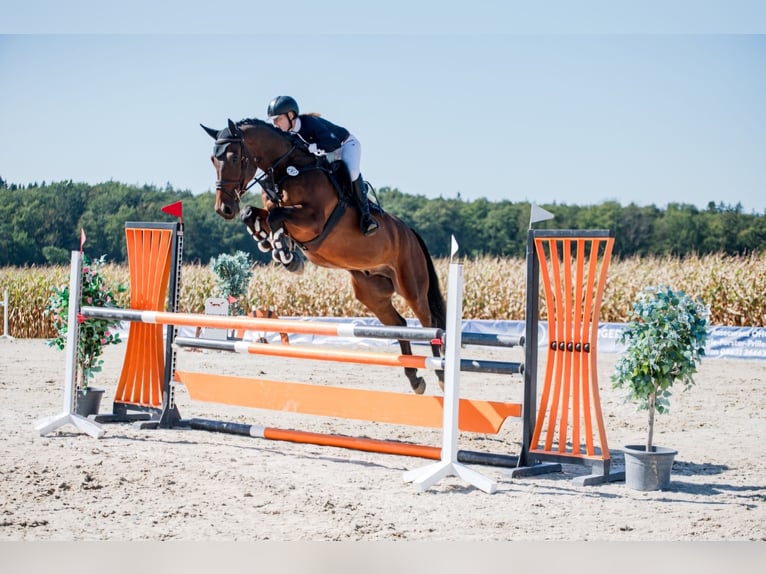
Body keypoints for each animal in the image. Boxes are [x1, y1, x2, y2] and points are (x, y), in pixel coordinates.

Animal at [201, 117, 448, 396]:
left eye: (234, 157)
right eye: (213, 159)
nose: (223, 208)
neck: (286, 169)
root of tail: (410, 233)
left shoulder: (313, 220)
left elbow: (276, 216)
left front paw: (286, 253)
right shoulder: (278, 213)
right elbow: (254, 213)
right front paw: (270, 242)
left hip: (412, 286)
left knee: (428, 323)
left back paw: (440, 374)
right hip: (371, 292)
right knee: (399, 324)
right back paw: (414, 378)